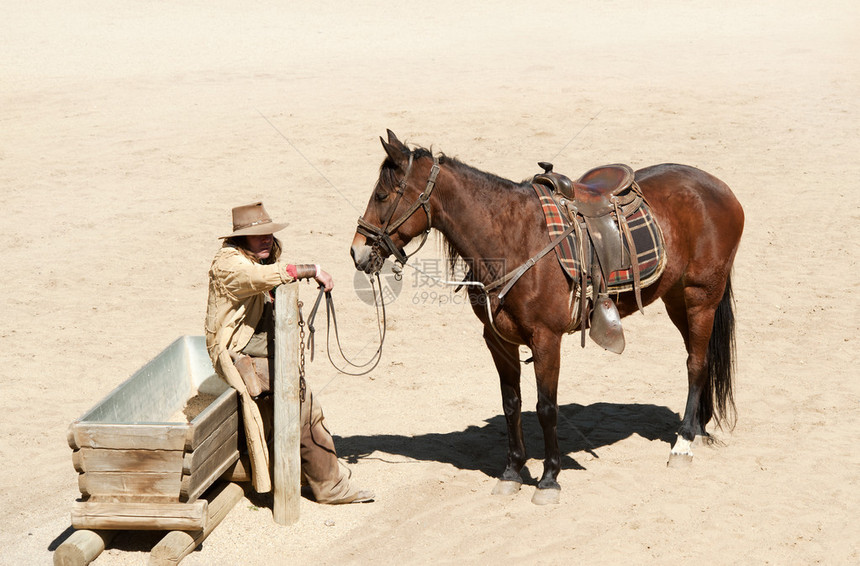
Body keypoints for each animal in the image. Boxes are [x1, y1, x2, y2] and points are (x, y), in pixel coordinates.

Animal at [350, 132, 740, 506]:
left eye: (382, 195)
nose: (357, 251)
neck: (513, 238)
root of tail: (719, 187)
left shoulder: (546, 339)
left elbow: (546, 407)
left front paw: (549, 478)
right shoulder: (498, 340)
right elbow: (512, 404)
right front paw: (511, 472)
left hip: (701, 297)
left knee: (696, 364)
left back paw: (683, 443)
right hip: (676, 297)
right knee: (701, 361)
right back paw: (698, 428)